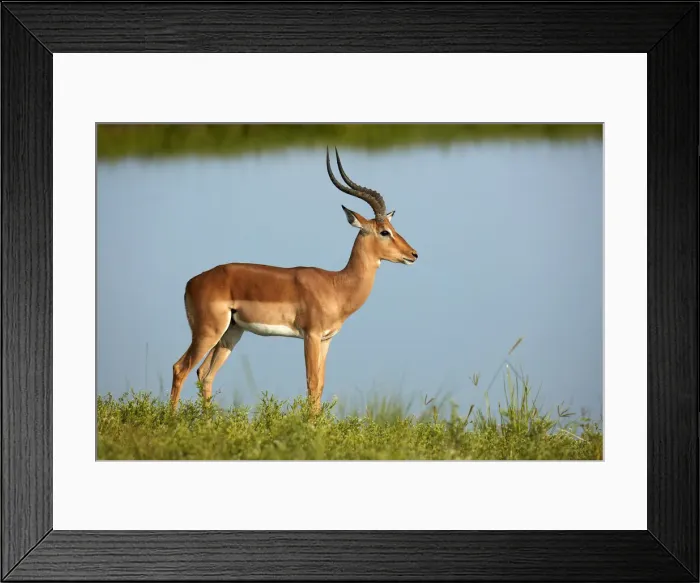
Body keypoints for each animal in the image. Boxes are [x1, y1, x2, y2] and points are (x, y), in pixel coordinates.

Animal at [170, 147, 419, 415]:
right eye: (384, 231)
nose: (413, 254)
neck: (337, 285)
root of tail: (192, 282)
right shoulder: (310, 335)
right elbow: (312, 382)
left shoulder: (326, 340)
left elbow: (321, 384)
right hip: (207, 332)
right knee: (180, 368)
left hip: (230, 333)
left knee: (205, 374)